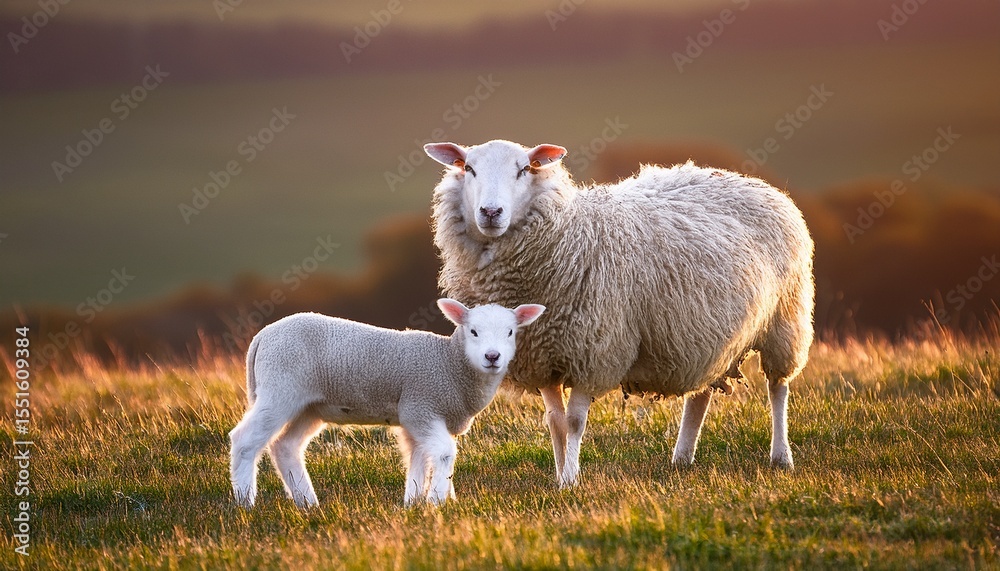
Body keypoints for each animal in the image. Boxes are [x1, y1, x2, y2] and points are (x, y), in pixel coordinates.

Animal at [229, 298, 545, 508]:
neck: (450, 363)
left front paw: (415, 502)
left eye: (510, 332)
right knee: (245, 440)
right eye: (473, 332)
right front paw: (437, 502)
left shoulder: (417, 416)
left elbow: (419, 458)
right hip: (280, 388)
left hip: (308, 406)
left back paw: (308, 503)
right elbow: (444, 453)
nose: (493, 357)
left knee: (285, 446)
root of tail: (262, 336)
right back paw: (245, 502)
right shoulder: (421, 405)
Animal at [426, 139, 814, 487]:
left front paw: (571, 480)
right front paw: (559, 476)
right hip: (703, 332)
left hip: (786, 317)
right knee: (701, 392)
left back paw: (781, 457)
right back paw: (682, 457)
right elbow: (555, 422)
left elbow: (575, 422)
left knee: (778, 387)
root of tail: (750, 181)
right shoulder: (543, 358)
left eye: (524, 169)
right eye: (468, 168)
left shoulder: (592, 351)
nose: (491, 213)